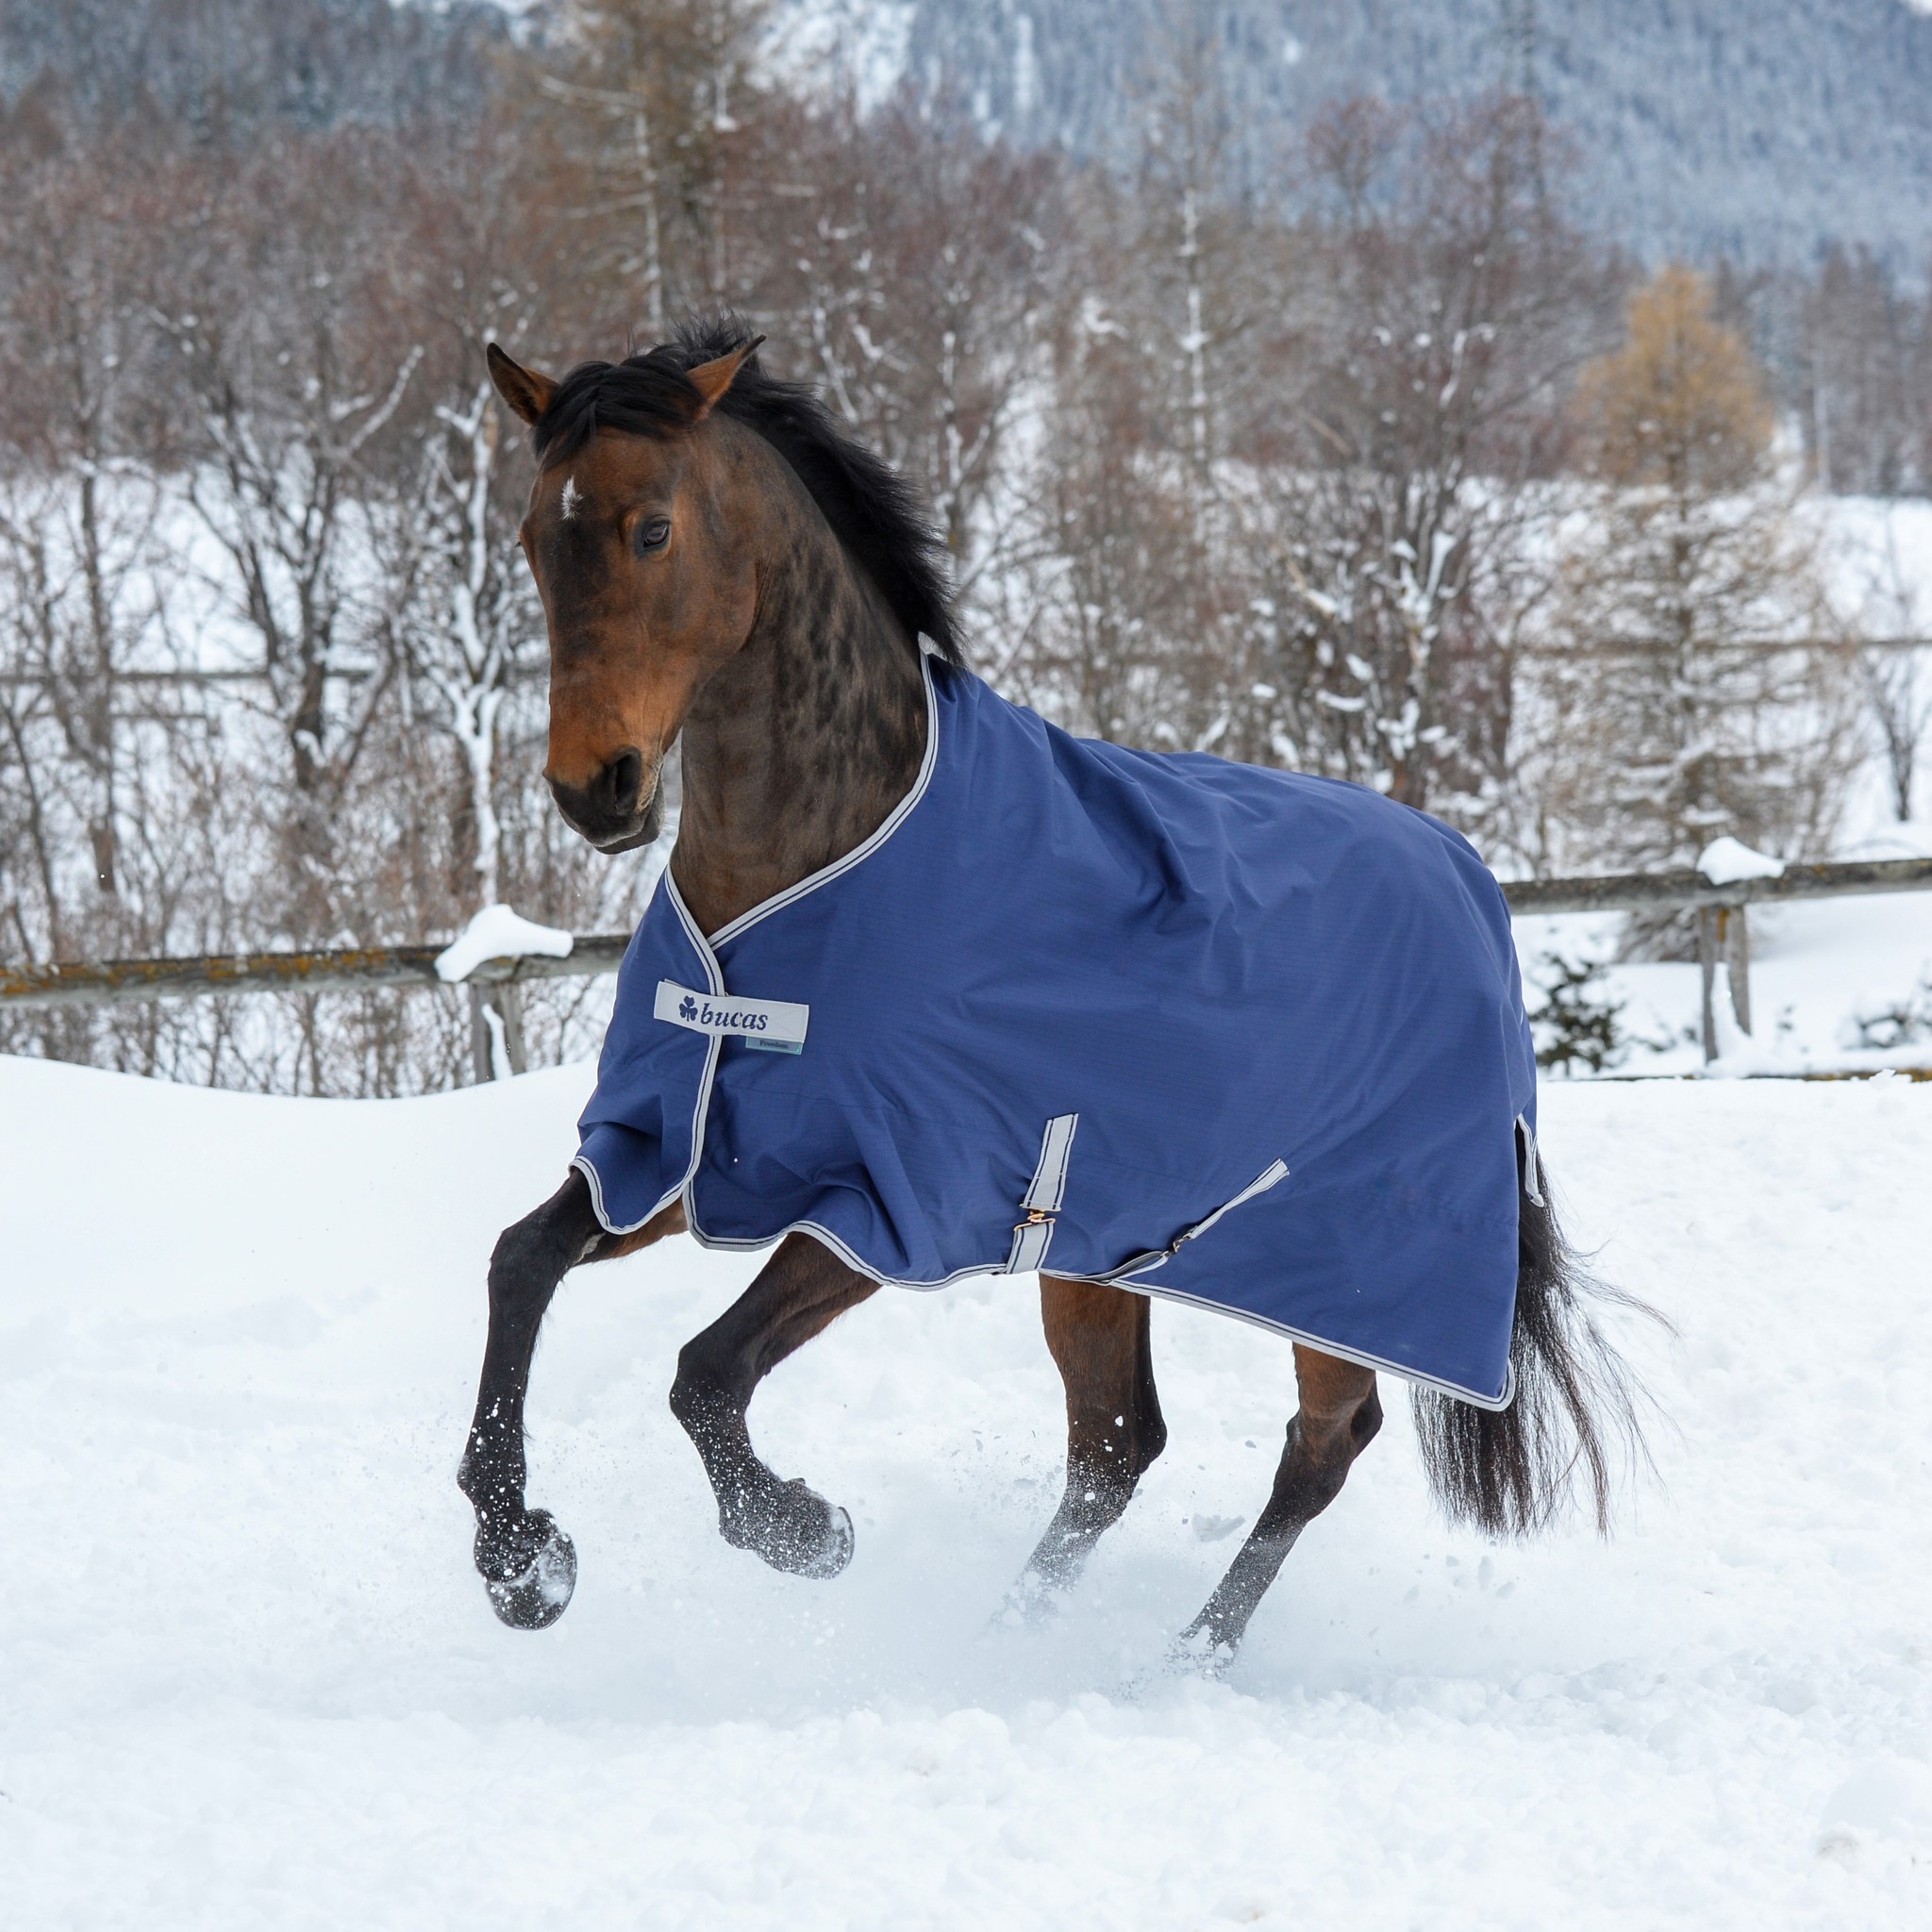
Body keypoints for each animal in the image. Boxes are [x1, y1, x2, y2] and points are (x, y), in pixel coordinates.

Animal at [456, 317, 1644, 1659]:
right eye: (532, 536)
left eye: (651, 527)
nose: (591, 787)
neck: (808, 871)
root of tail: (1468, 879)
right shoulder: (680, 1148)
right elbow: (519, 1261)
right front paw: (521, 1561)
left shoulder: (885, 1201)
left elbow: (704, 1373)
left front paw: (804, 1529)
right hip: (1100, 1250)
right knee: (1113, 1448)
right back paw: (1006, 1637)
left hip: (1344, 1267)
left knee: (1321, 1441)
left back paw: (1183, 1658)